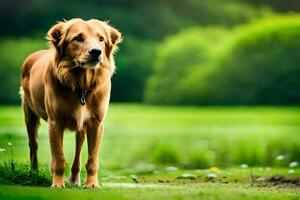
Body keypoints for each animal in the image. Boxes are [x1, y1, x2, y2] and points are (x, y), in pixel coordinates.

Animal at [20, 18, 121, 188]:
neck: (81, 85)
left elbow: (92, 159)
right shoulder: (55, 122)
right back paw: (33, 173)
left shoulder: (96, 123)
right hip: (29, 114)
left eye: (101, 39)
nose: (96, 52)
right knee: (33, 145)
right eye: (78, 38)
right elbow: (58, 157)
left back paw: (74, 178)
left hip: (81, 127)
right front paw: (57, 184)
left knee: (78, 147)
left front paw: (92, 184)